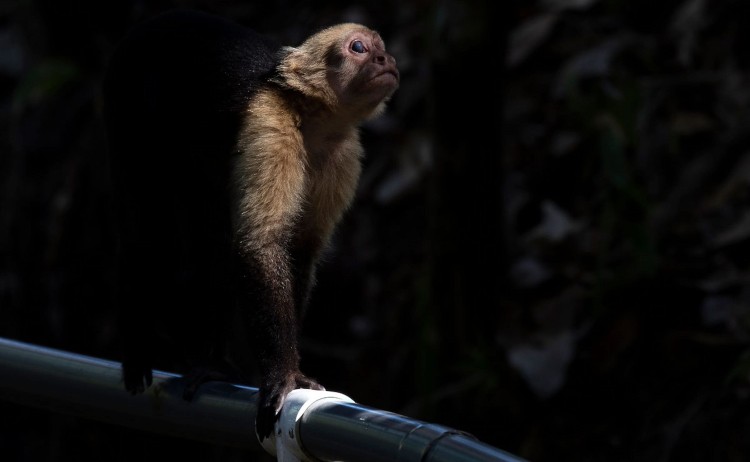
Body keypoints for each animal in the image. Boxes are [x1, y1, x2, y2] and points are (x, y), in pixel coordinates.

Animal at [101, 9, 398, 441]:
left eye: (382, 48)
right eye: (358, 48)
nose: (385, 60)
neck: (312, 118)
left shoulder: (343, 155)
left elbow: (300, 250)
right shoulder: (269, 124)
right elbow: (261, 243)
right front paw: (283, 376)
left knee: (209, 234)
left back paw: (209, 359)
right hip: (126, 95)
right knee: (148, 231)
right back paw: (138, 339)